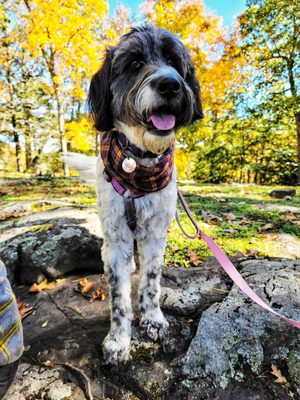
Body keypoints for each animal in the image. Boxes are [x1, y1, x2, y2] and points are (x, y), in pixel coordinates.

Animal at [64, 23, 203, 364]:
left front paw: (152, 319)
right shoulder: (116, 242)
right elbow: (118, 298)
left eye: (174, 62)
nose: (170, 84)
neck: (137, 165)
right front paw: (118, 340)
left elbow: (151, 281)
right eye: (135, 63)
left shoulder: (154, 234)